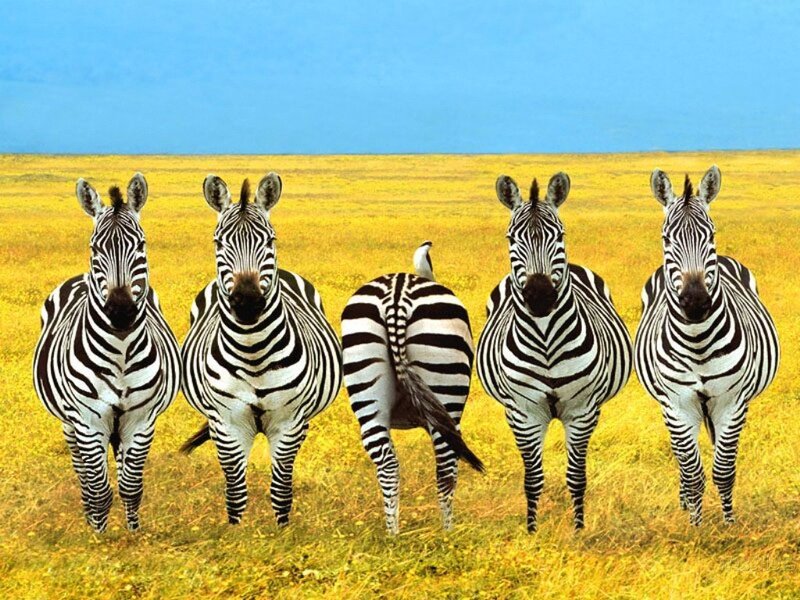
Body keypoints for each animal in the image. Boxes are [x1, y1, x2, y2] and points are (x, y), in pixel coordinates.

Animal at [32, 173, 181, 533]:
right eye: (95, 248)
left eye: (141, 245)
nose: (121, 310)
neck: (121, 352)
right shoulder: (88, 419)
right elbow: (98, 488)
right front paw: (98, 536)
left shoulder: (141, 420)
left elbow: (130, 485)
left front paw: (133, 533)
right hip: (70, 423)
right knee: (83, 473)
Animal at [180, 173, 342, 527]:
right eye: (218, 243)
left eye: (270, 240)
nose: (248, 302)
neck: (253, 353)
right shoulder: (227, 423)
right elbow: (235, 490)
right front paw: (236, 533)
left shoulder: (290, 422)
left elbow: (281, 488)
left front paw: (282, 531)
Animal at [341, 241, 483, 534]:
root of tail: (397, 292)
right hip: (447, 389)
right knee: (446, 466)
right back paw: (447, 534)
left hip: (364, 379)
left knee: (387, 464)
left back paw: (393, 535)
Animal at [476, 172, 632, 532]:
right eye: (511, 238)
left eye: (560, 235)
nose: (540, 296)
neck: (546, 340)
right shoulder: (523, 413)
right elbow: (532, 479)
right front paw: (532, 530)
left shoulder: (582, 410)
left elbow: (576, 476)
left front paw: (578, 530)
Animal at [635, 166, 779, 526]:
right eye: (666, 239)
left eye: (711, 235)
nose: (696, 302)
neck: (698, 340)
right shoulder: (677, 404)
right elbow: (692, 472)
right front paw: (695, 526)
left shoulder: (733, 402)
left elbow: (723, 470)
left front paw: (728, 525)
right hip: (669, 407)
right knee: (681, 458)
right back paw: (685, 503)